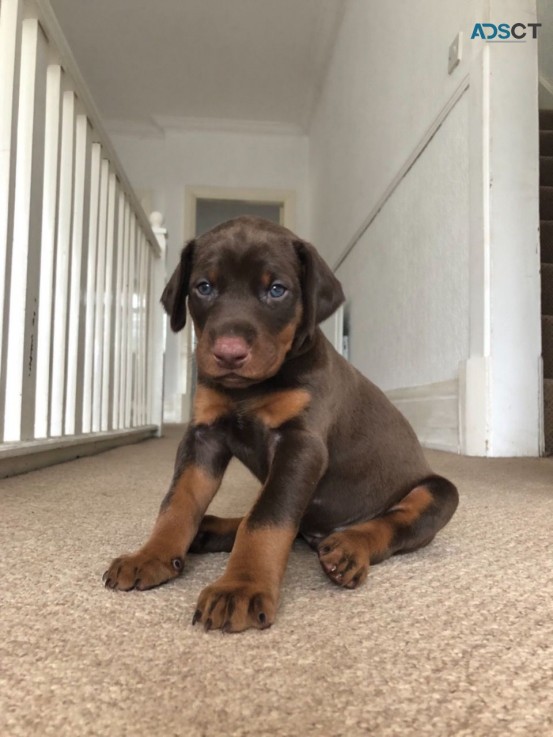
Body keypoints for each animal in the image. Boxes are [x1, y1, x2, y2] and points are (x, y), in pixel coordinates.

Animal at [103, 214, 458, 632]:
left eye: (276, 290)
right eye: (203, 287)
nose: (229, 354)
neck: (252, 388)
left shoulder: (300, 444)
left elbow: (267, 517)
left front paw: (240, 587)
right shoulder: (203, 436)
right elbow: (178, 500)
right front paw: (152, 555)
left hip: (439, 493)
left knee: (391, 523)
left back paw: (350, 547)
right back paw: (208, 529)